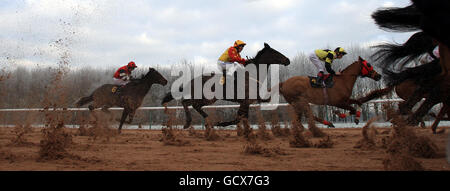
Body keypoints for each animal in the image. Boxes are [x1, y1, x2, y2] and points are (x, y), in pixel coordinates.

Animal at [162, 42, 292, 127]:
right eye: (276, 52)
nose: (288, 60)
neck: (253, 75)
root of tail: (192, 80)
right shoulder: (245, 101)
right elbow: (238, 118)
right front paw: (222, 123)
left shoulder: (248, 101)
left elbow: (243, 117)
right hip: (206, 97)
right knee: (190, 104)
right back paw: (195, 122)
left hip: (206, 98)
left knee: (190, 103)